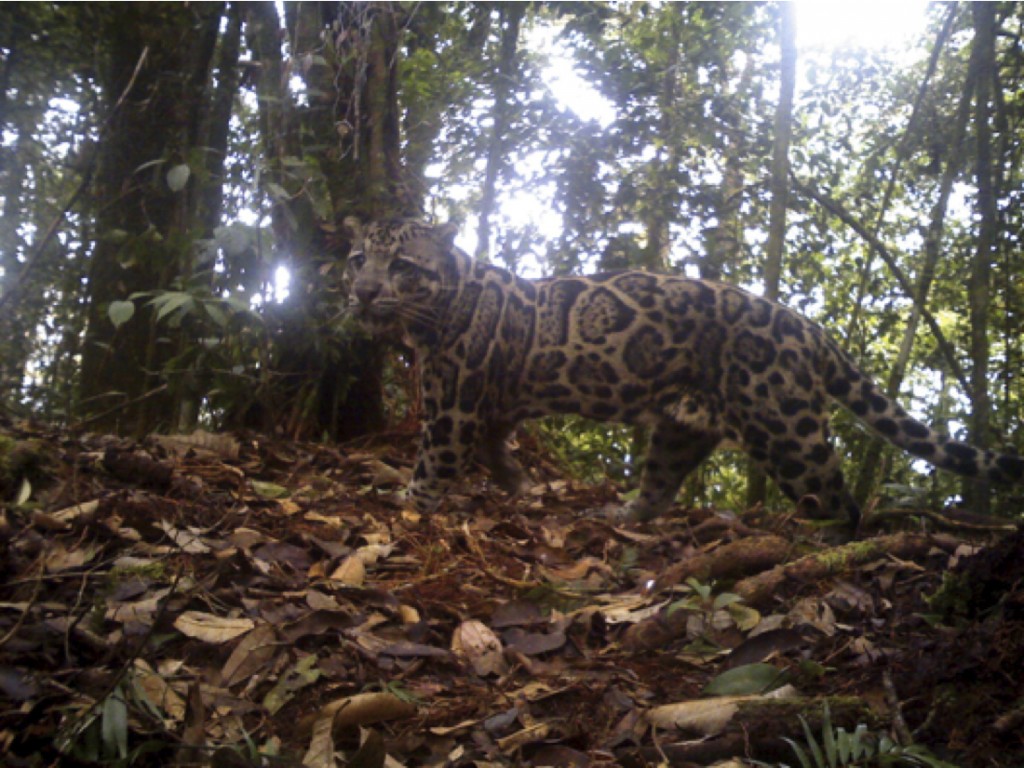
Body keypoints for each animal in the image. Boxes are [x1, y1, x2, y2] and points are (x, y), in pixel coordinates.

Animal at [346, 219, 1024, 528]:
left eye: (401, 265)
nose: (362, 292)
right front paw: (520, 485)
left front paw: (404, 505)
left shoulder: (453, 406)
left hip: (785, 428)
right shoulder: (493, 405)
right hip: (683, 426)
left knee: (838, 502)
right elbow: (497, 448)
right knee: (660, 487)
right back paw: (618, 515)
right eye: (357, 259)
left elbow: (434, 462)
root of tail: (811, 330)